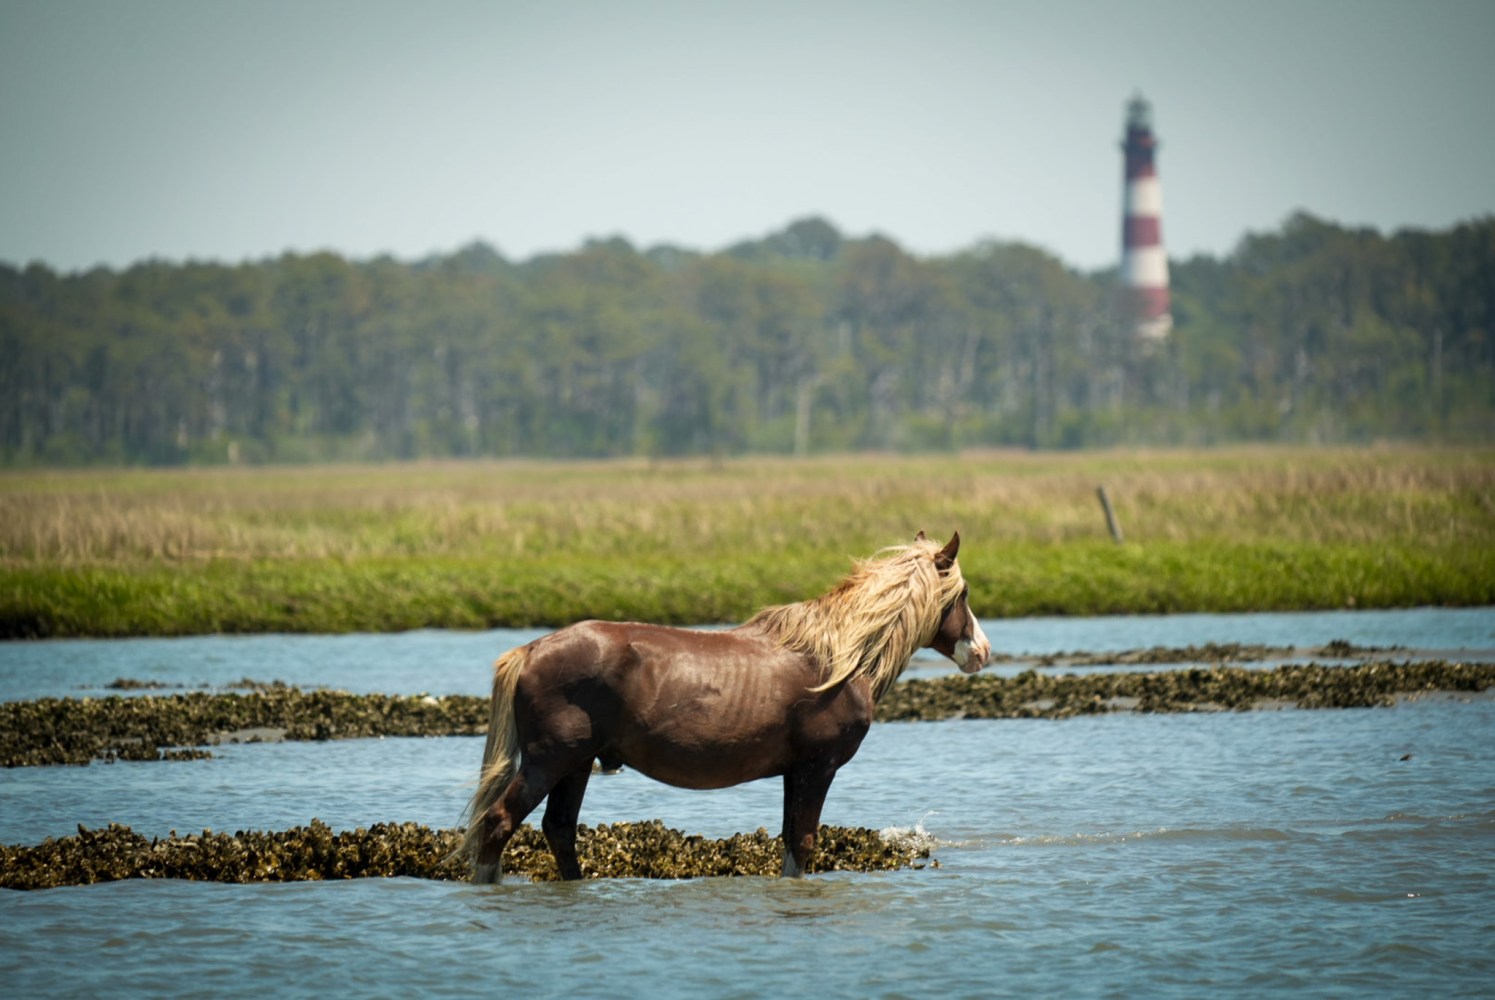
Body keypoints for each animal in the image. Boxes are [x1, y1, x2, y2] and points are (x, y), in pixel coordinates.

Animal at [460, 531, 991, 882]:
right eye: (963, 593)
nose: (982, 652)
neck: (839, 657)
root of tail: (531, 650)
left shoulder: (794, 771)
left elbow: (790, 843)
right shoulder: (818, 767)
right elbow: (804, 841)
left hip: (575, 765)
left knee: (559, 830)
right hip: (550, 762)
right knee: (499, 825)